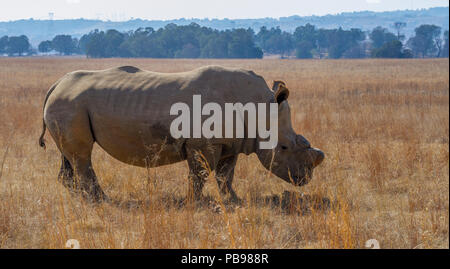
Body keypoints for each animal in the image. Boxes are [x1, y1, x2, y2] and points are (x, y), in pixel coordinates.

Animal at [38, 65, 324, 201]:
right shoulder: (204, 143)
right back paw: (101, 201)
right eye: (285, 147)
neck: (259, 107)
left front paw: (234, 200)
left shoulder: (232, 142)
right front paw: (193, 202)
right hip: (70, 103)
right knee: (82, 156)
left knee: (70, 156)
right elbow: (200, 174)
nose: (304, 179)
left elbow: (225, 176)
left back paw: (82, 200)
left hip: (70, 105)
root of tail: (56, 84)